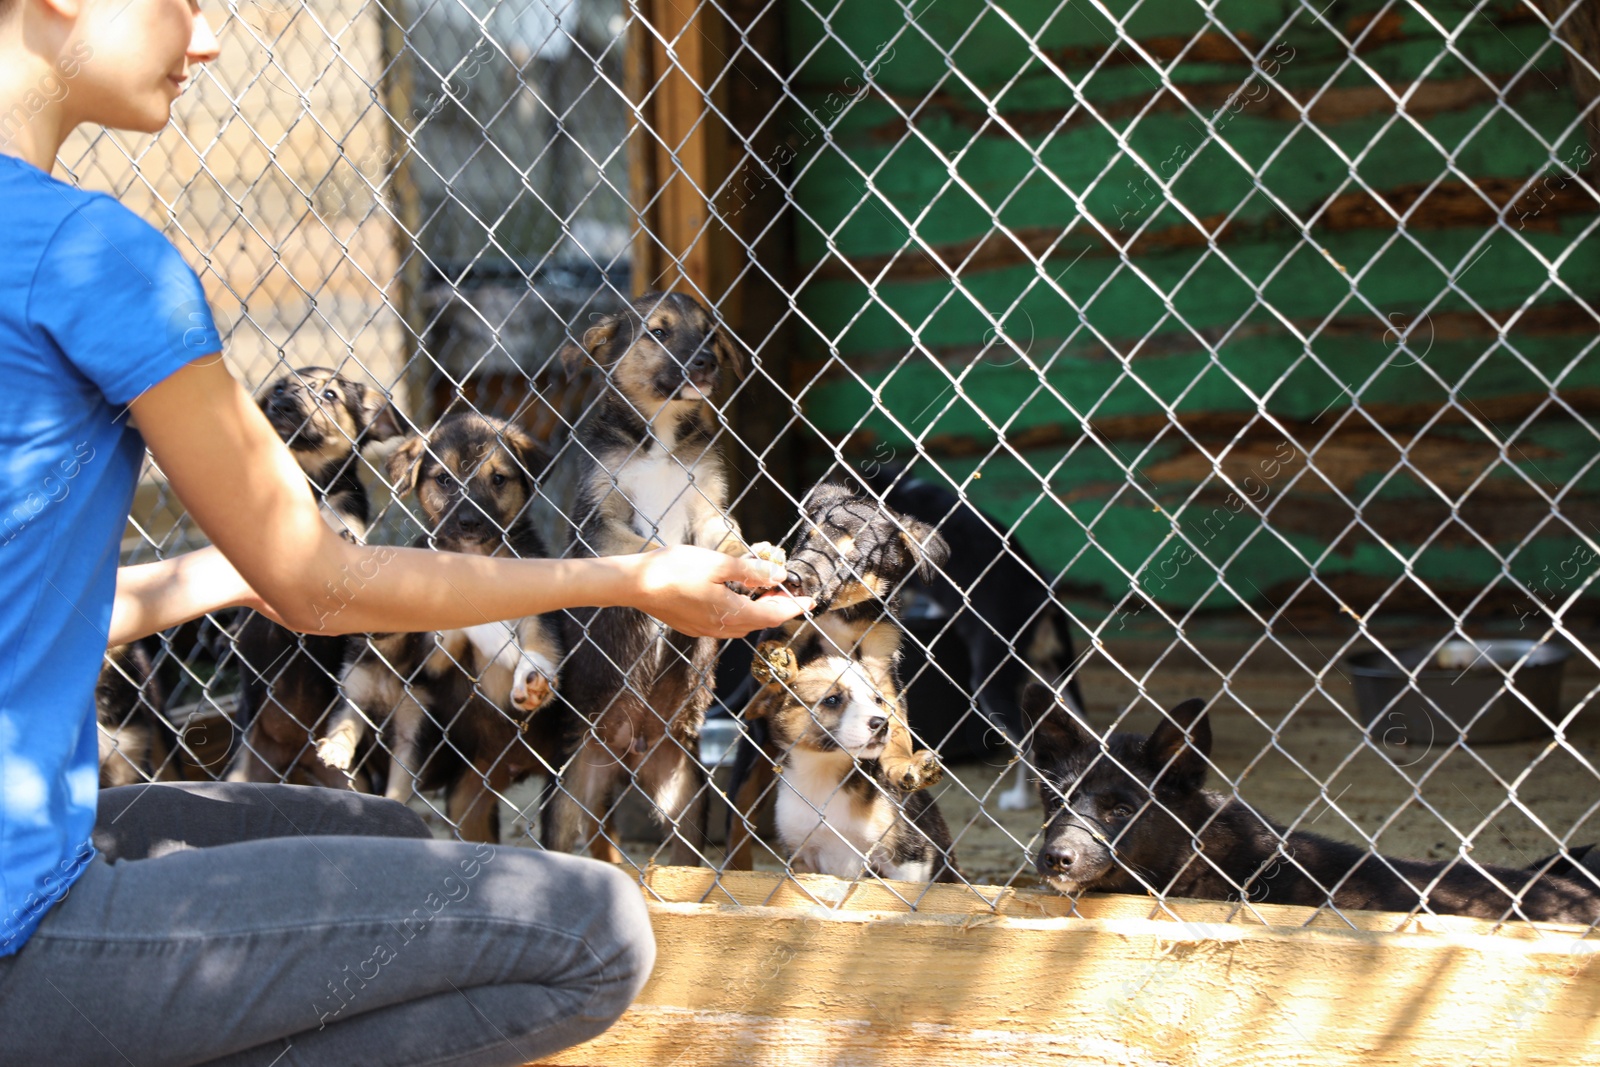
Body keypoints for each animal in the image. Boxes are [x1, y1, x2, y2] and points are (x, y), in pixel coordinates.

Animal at [227, 367, 406, 793]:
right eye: (278, 388)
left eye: (330, 395)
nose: (283, 402)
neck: (307, 484)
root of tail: (293, 755)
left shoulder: (345, 507)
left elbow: (345, 528)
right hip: (244, 763)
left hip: (349, 780)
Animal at [318, 415, 563, 844]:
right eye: (445, 480)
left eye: (498, 479)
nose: (468, 521)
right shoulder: (430, 658)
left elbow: (538, 638)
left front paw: (534, 675)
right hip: (468, 802)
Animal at [540, 292, 784, 870]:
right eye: (658, 332)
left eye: (711, 334)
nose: (707, 362)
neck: (660, 439)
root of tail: (625, 753)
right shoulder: (600, 525)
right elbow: (653, 550)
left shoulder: (710, 511)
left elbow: (728, 541)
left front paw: (755, 560)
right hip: (566, 791)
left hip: (685, 790)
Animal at [739, 614, 953, 883]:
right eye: (832, 700)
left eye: (877, 700)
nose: (882, 724)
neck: (823, 774)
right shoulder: (801, 857)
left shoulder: (909, 858)